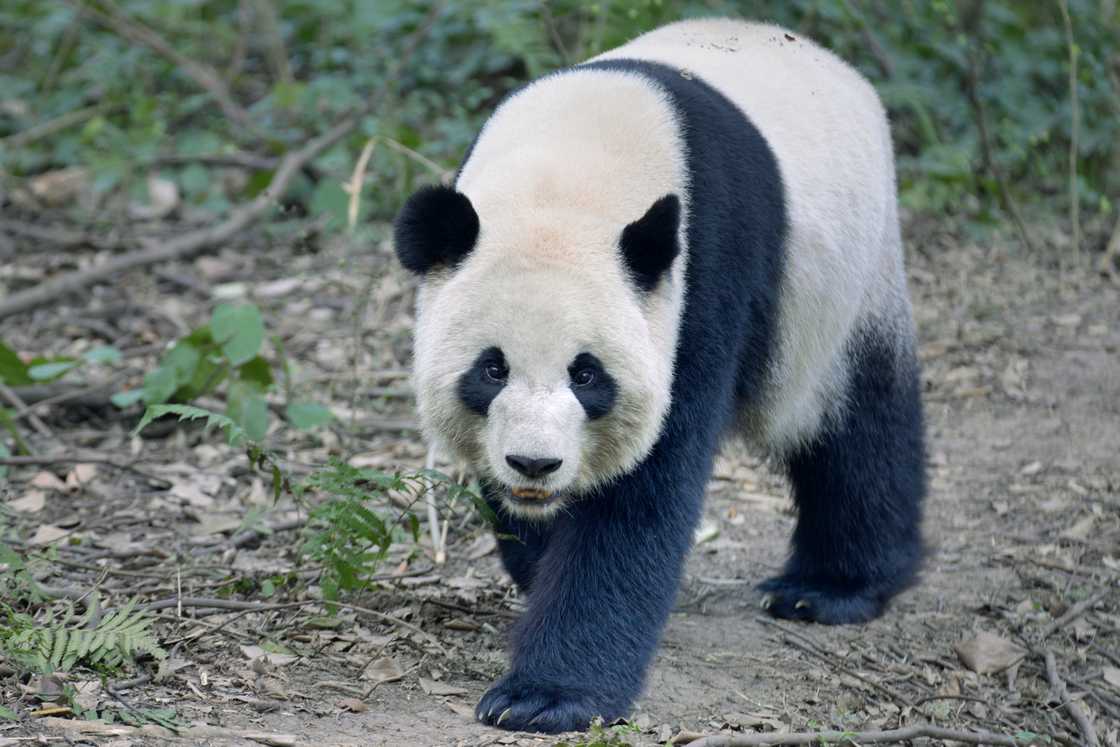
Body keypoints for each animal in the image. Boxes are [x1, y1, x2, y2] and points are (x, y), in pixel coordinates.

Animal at [389, 19, 922, 734]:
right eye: (492, 369)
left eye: (587, 375)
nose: (535, 464)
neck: (567, 174)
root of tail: (833, 63)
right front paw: (538, 559)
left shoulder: (700, 280)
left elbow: (643, 492)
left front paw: (546, 696)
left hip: (846, 284)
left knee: (859, 424)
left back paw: (832, 588)